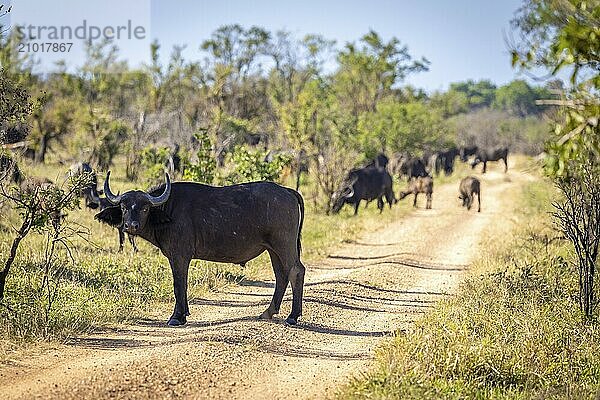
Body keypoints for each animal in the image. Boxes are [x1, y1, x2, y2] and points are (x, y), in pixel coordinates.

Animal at [98, 173, 308, 326]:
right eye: (124, 207)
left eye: (144, 208)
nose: (130, 226)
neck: (168, 210)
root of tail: (287, 191)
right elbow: (182, 284)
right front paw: (184, 313)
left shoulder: (179, 256)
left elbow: (179, 284)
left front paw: (177, 317)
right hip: (273, 249)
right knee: (281, 275)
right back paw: (268, 312)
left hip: (284, 245)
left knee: (296, 271)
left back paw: (292, 316)